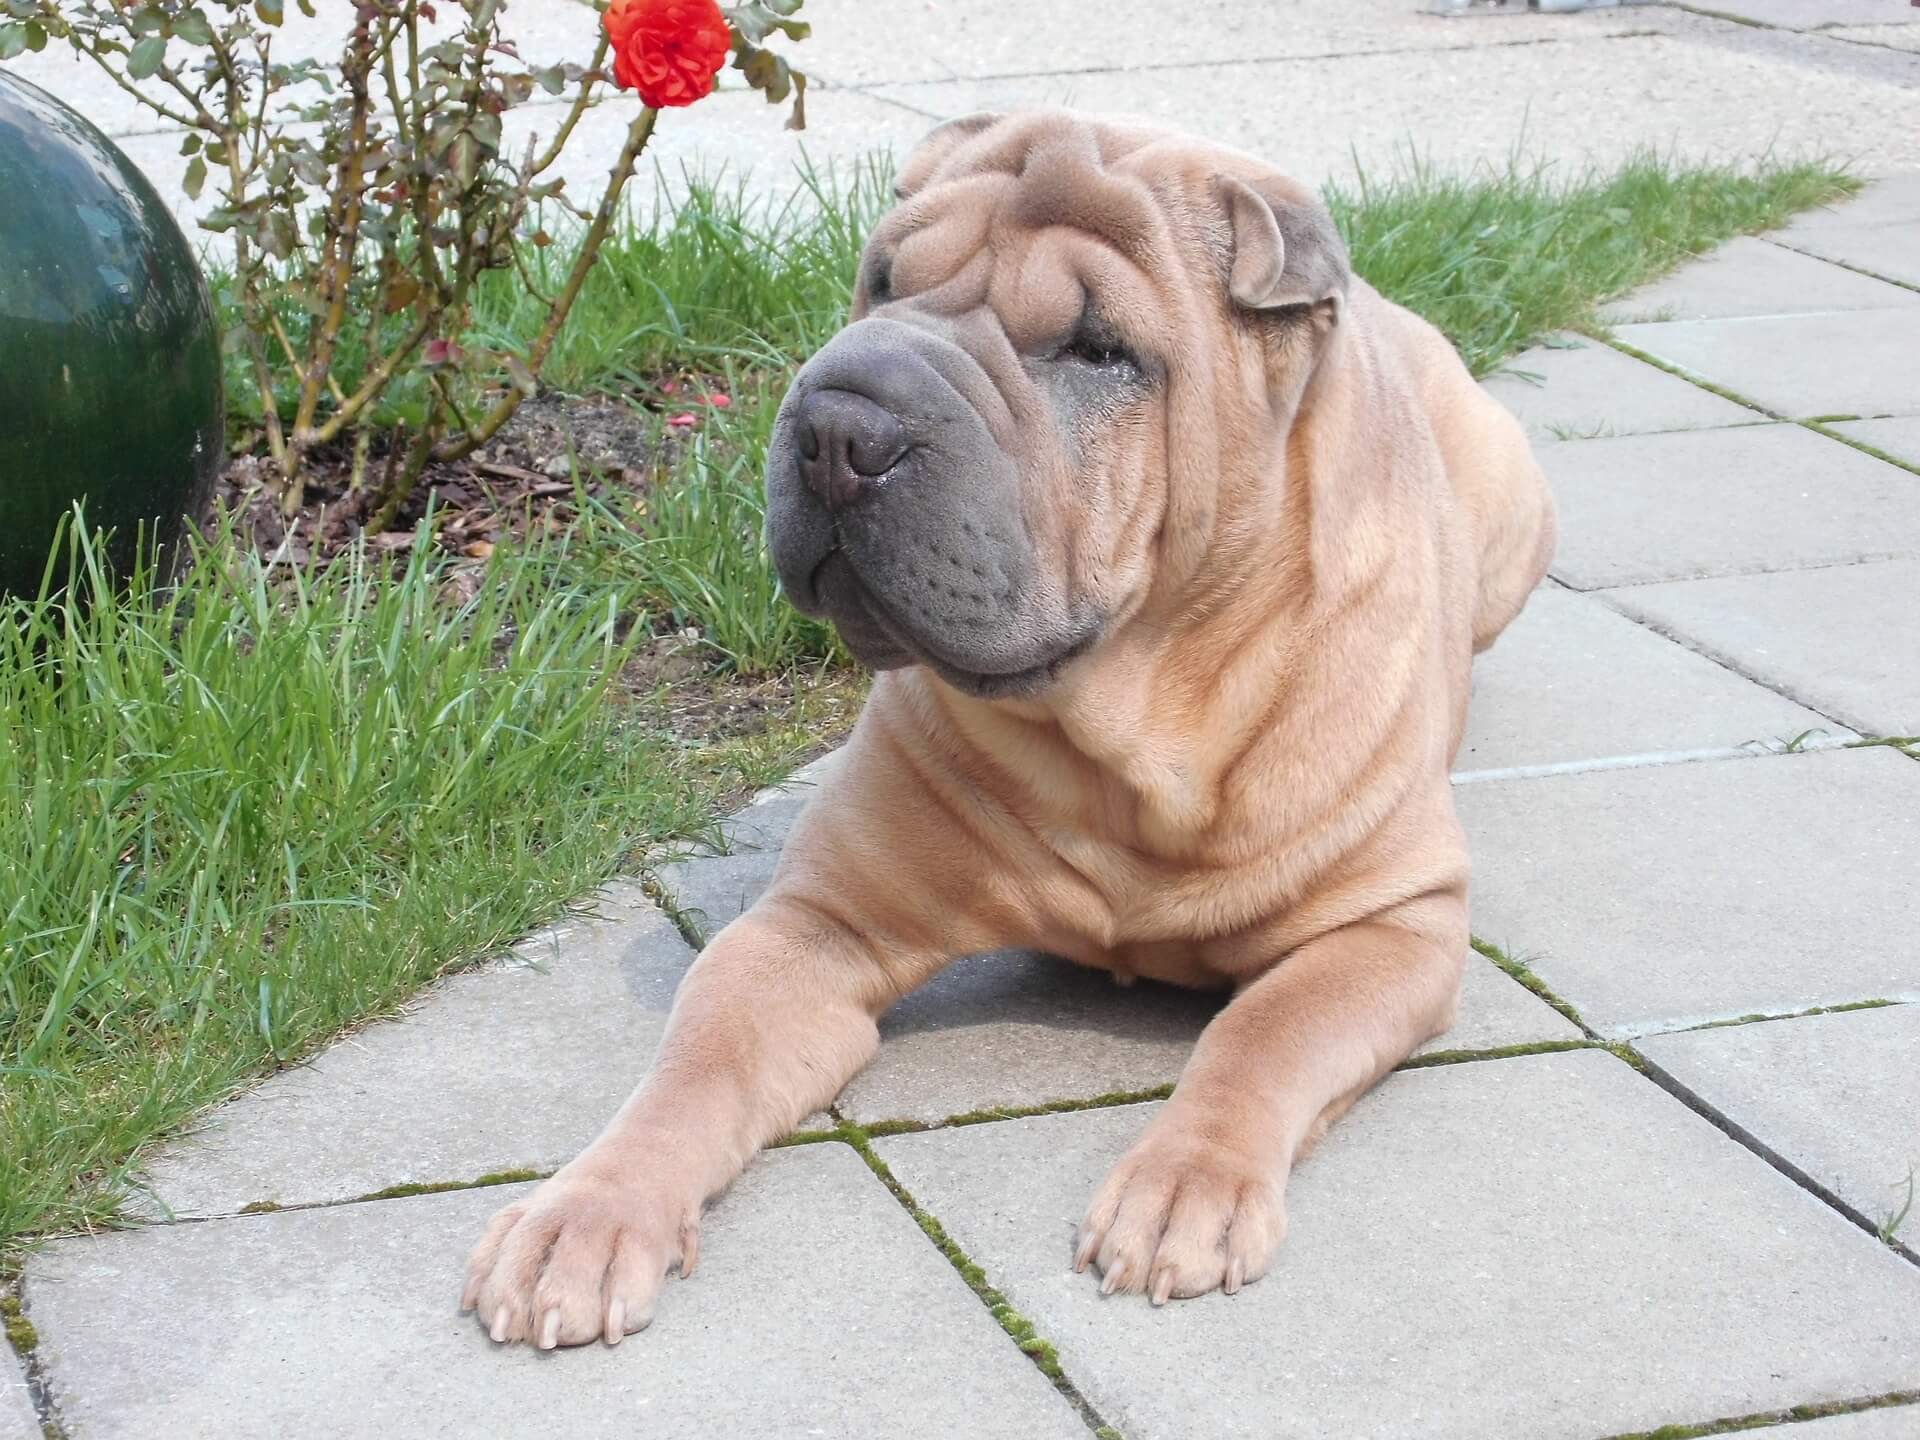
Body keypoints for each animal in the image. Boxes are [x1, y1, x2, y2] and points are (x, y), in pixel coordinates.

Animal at [468, 107, 1559, 1351]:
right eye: (882, 282)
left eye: (1097, 351)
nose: (838, 423)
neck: (1126, 730)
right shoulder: (815, 925)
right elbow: (697, 1062)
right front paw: (584, 1215)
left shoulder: (1392, 926)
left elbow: (1261, 1034)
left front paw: (1184, 1185)